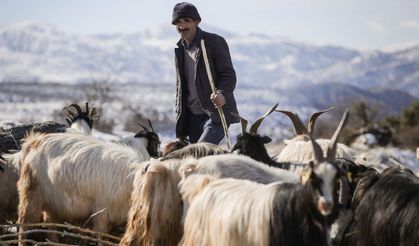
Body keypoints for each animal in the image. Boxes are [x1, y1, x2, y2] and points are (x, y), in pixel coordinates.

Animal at [16, 132, 148, 243]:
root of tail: (35, 141)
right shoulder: (101, 210)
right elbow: (101, 234)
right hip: (31, 194)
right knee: (24, 223)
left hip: (52, 202)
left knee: (49, 222)